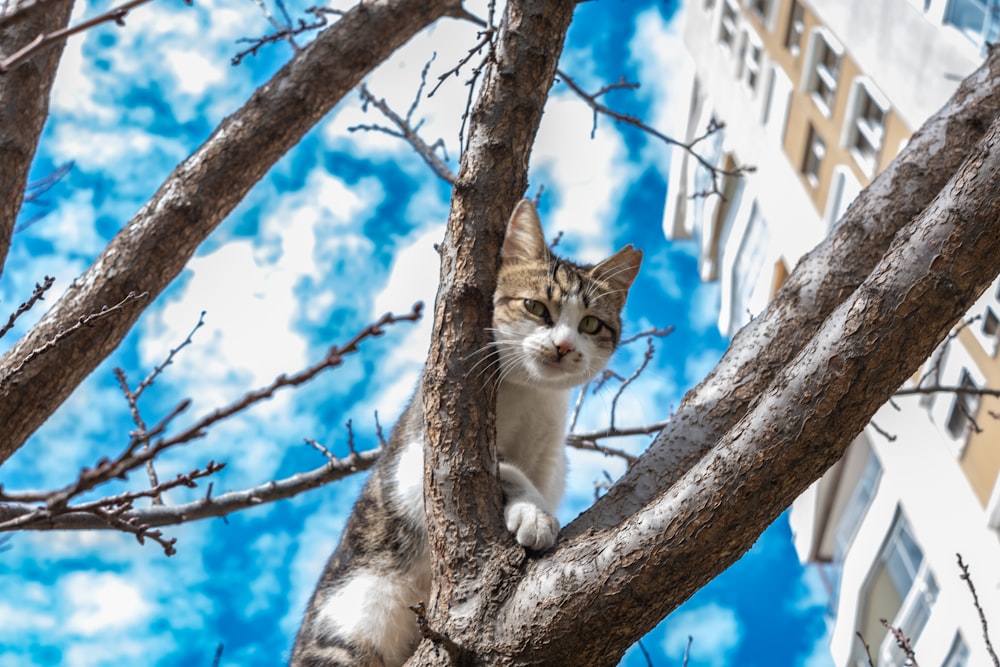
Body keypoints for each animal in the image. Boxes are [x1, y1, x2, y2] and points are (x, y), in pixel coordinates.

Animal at [288, 200, 640, 667]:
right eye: (536, 308)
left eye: (591, 325)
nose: (564, 347)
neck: (527, 397)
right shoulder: (414, 459)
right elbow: (499, 467)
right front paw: (534, 513)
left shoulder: (551, 462)